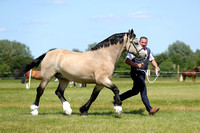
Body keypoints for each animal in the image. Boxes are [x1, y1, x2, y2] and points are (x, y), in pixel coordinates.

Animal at [14, 29, 147, 115]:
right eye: (136, 42)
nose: (145, 55)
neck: (104, 56)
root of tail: (48, 53)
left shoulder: (100, 83)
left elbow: (94, 96)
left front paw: (84, 110)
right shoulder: (102, 79)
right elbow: (116, 89)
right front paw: (118, 108)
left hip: (63, 79)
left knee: (59, 92)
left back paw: (68, 110)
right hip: (47, 77)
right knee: (40, 91)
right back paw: (35, 110)